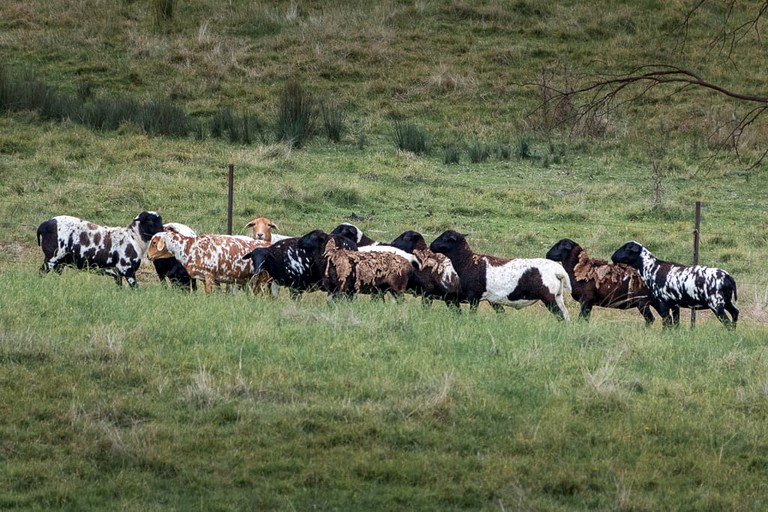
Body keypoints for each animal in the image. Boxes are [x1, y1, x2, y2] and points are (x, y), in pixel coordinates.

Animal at [36, 209, 164, 288]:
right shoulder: (128, 271)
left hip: (59, 262)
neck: (135, 238)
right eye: (150, 220)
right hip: (52, 257)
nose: (162, 232)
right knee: (41, 272)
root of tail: (43, 225)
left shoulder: (117, 274)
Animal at [432, 230, 568, 318]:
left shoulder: (474, 296)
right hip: (558, 296)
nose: (432, 245)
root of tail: (558, 270)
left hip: (548, 297)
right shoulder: (493, 300)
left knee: (560, 315)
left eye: (445, 237)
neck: (468, 261)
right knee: (565, 315)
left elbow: (472, 314)